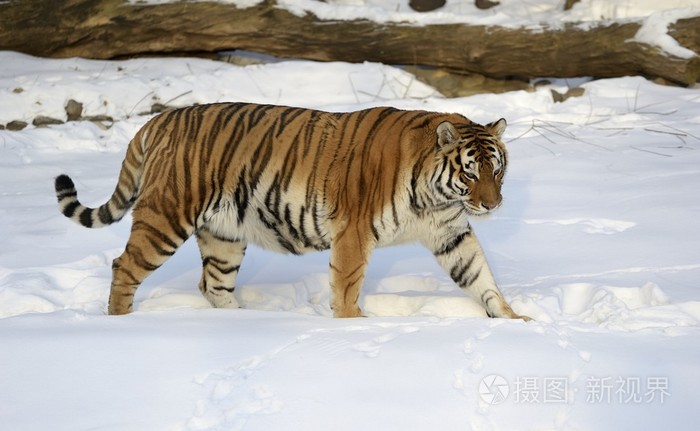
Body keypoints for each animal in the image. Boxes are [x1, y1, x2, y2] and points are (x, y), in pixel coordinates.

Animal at [54, 102, 529, 320]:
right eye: (469, 173)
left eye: (496, 170)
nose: (492, 204)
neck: (437, 196)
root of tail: (157, 120)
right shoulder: (354, 232)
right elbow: (348, 285)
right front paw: (355, 323)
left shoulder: (451, 233)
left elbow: (479, 276)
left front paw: (513, 320)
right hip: (166, 216)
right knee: (124, 266)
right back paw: (121, 323)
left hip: (224, 235)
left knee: (213, 285)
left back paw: (241, 321)